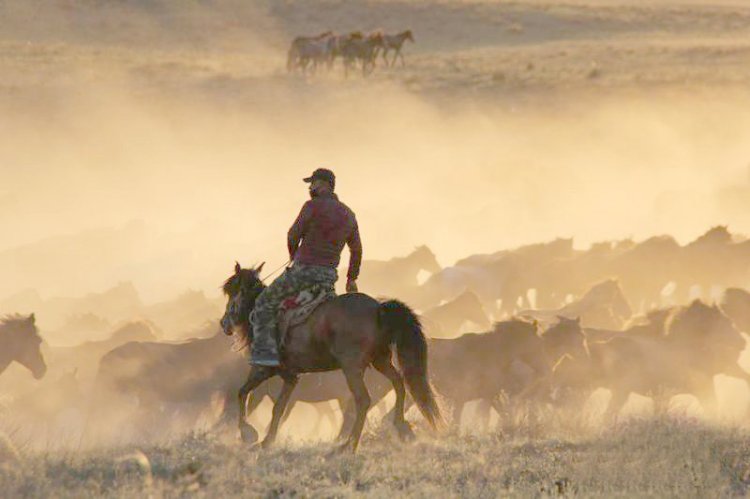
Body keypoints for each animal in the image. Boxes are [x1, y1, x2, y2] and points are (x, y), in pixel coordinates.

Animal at [219, 262, 440, 454]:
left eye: (232, 291)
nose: (224, 323)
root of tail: (379, 309)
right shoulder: (290, 376)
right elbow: (278, 408)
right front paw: (267, 441)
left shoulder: (263, 368)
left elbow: (242, 392)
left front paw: (248, 433)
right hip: (380, 360)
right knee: (399, 384)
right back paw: (402, 428)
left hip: (352, 368)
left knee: (363, 400)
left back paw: (349, 445)